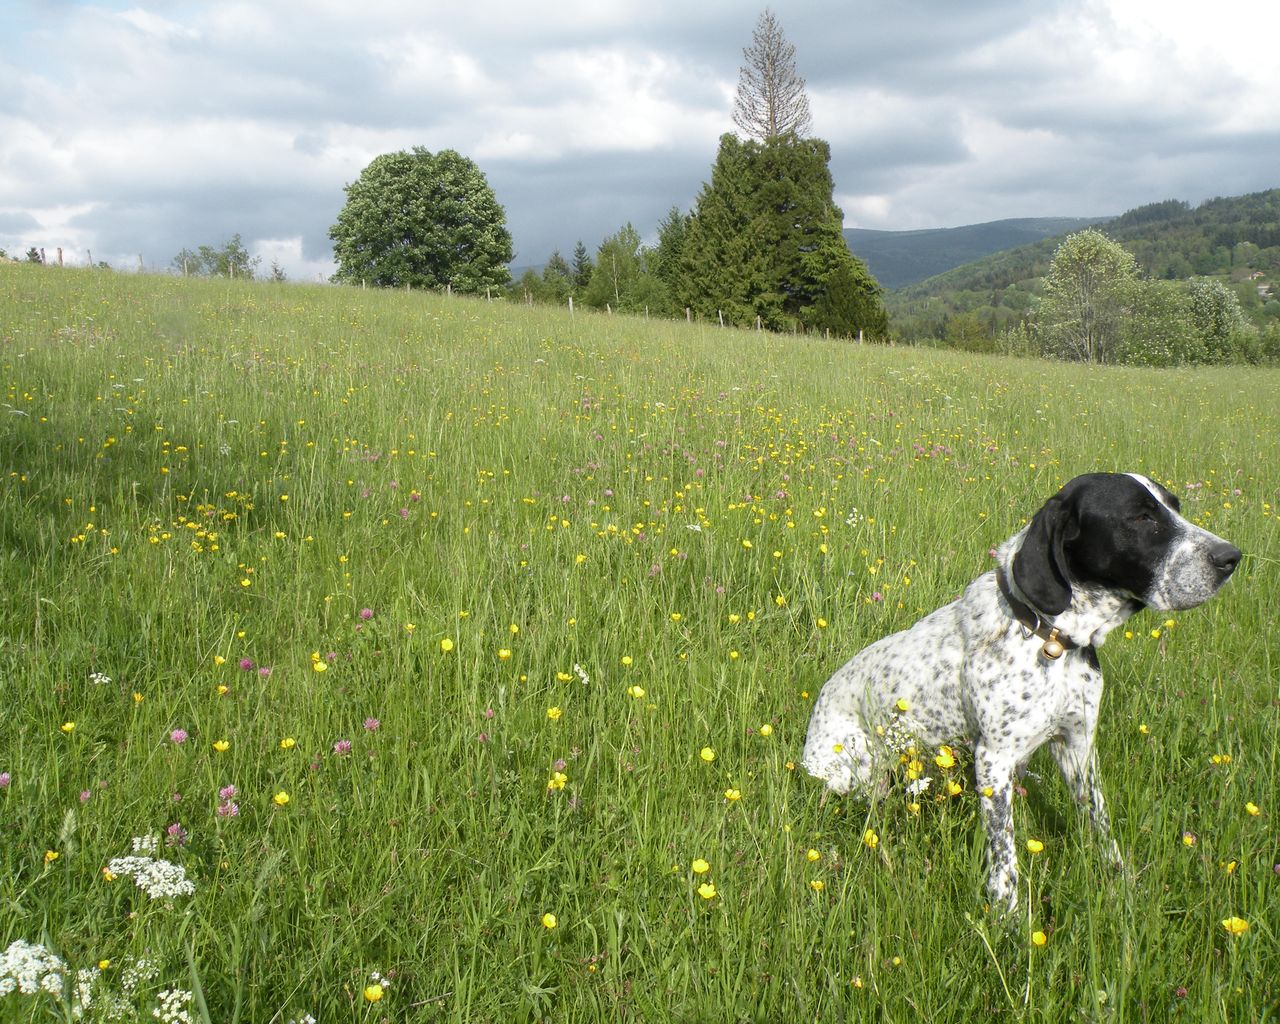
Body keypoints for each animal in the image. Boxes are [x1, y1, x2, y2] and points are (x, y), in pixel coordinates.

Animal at [798, 471, 1239, 911]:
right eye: (1141, 517)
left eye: (1174, 506)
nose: (1231, 557)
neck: (1053, 639)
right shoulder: (994, 758)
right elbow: (1004, 847)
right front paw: (1007, 910)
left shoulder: (1077, 745)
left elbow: (1099, 820)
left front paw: (1121, 881)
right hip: (858, 770)